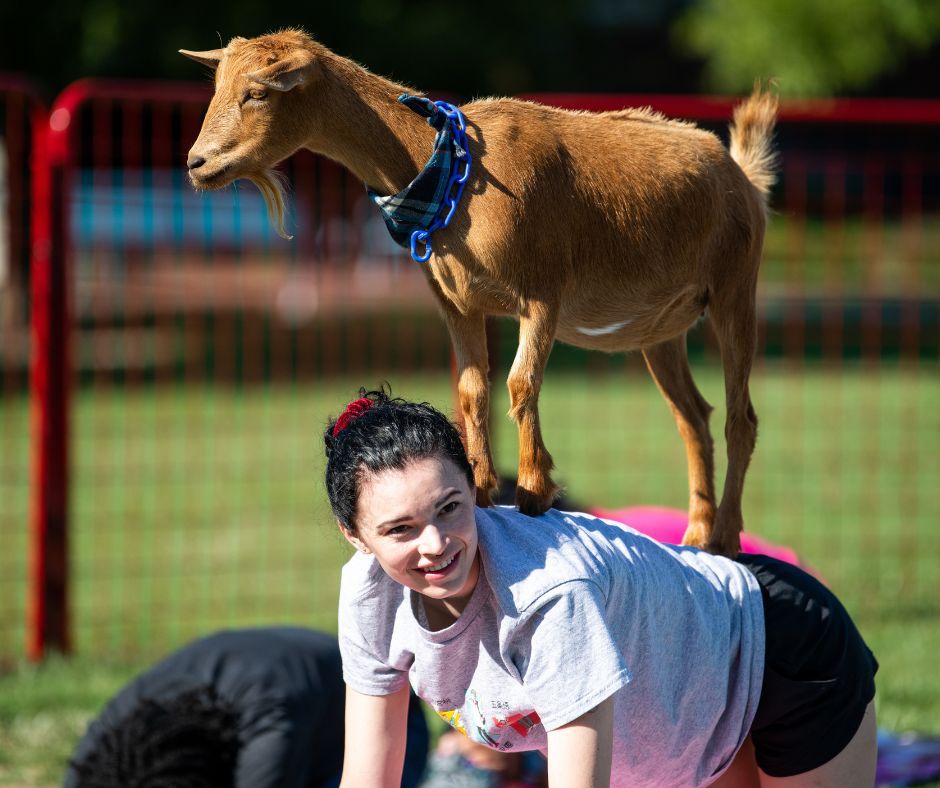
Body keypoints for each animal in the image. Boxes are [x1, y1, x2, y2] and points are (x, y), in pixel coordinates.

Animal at [180, 29, 777, 556]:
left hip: (736, 289)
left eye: (259, 91)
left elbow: (520, 383)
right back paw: (696, 532)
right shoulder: (458, 305)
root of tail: (743, 177)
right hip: (660, 332)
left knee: (740, 418)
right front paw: (485, 486)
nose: (197, 164)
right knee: (694, 418)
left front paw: (536, 487)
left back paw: (726, 536)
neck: (449, 169)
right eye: (218, 87)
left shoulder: (542, 295)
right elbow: (472, 389)